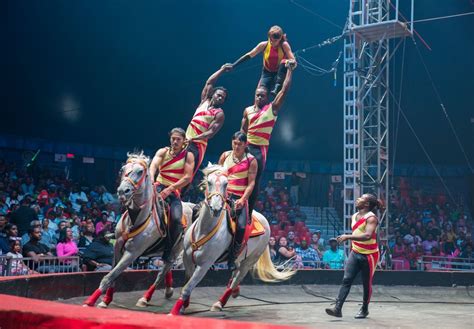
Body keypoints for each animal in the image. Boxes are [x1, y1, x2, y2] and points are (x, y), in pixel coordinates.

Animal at [82, 151, 192, 308]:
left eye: (140, 172)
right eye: (122, 169)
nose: (123, 191)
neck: (137, 218)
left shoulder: (132, 252)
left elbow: (110, 275)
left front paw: (90, 301)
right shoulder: (117, 246)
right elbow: (113, 274)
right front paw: (106, 299)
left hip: (176, 248)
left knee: (163, 271)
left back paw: (146, 298)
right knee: (167, 267)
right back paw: (168, 290)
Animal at [170, 164, 296, 316]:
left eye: (226, 184)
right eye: (209, 182)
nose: (216, 208)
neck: (204, 229)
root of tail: (264, 219)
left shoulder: (204, 265)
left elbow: (187, 287)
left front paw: (174, 311)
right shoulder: (188, 259)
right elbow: (187, 284)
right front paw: (184, 305)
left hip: (250, 260)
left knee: (237, 278)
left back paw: (220, 303)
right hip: (239, 257)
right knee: (234, 274)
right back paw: (234, 292)